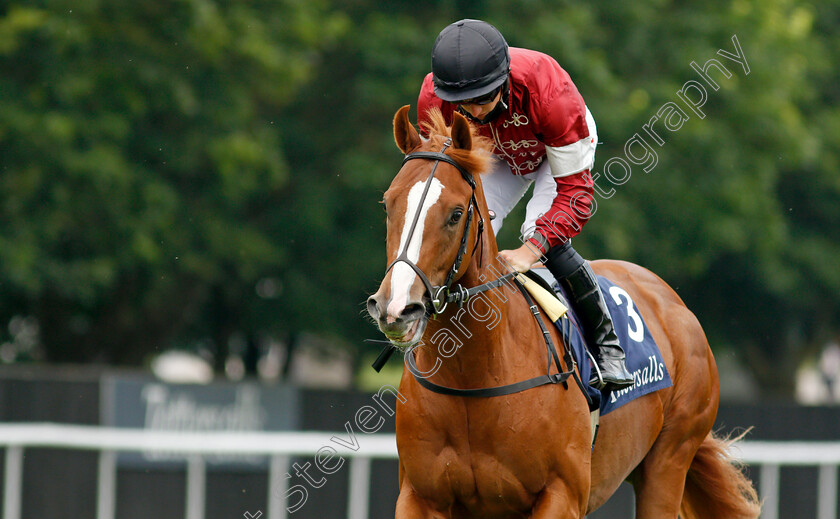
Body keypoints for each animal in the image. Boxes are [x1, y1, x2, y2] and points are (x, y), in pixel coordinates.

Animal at [368, 103, 760, 516]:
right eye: (388, 204)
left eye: (455, 214)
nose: (396, 308)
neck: (472, 379)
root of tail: (673, 302)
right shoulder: (419, 496)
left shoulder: (562, 493)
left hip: (671, 457)